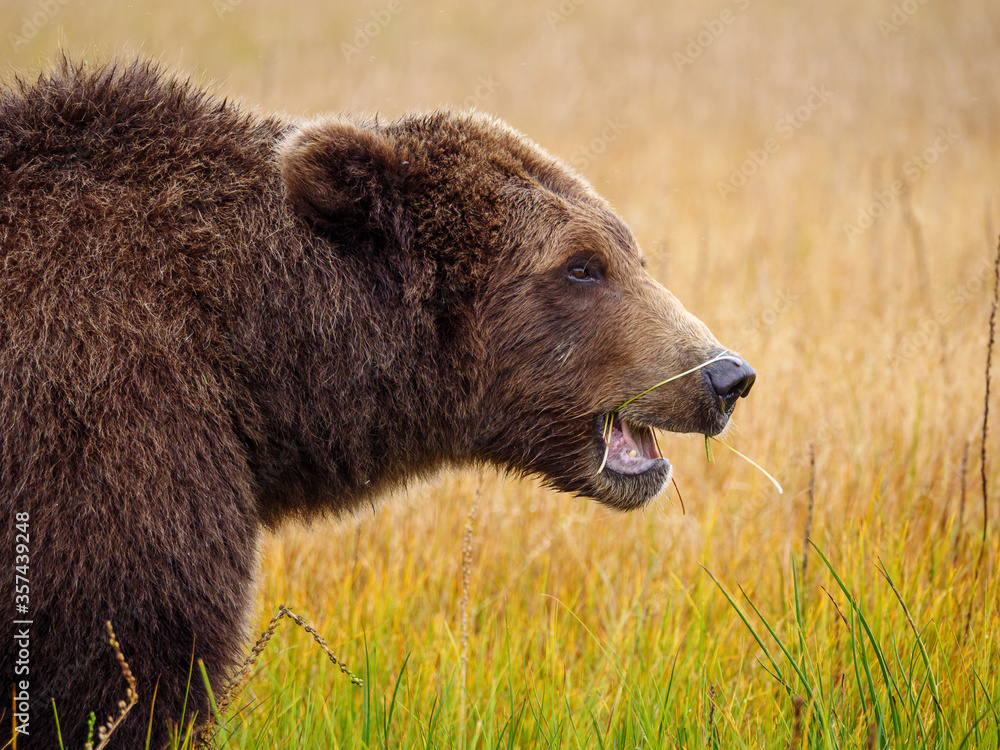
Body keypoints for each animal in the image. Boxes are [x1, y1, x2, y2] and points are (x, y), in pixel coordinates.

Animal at [0, 61, 752, 748]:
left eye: (632, 253)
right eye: (581, 265)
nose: (726, 375)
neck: (258, 348)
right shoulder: (110, 437)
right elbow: (126, 663)